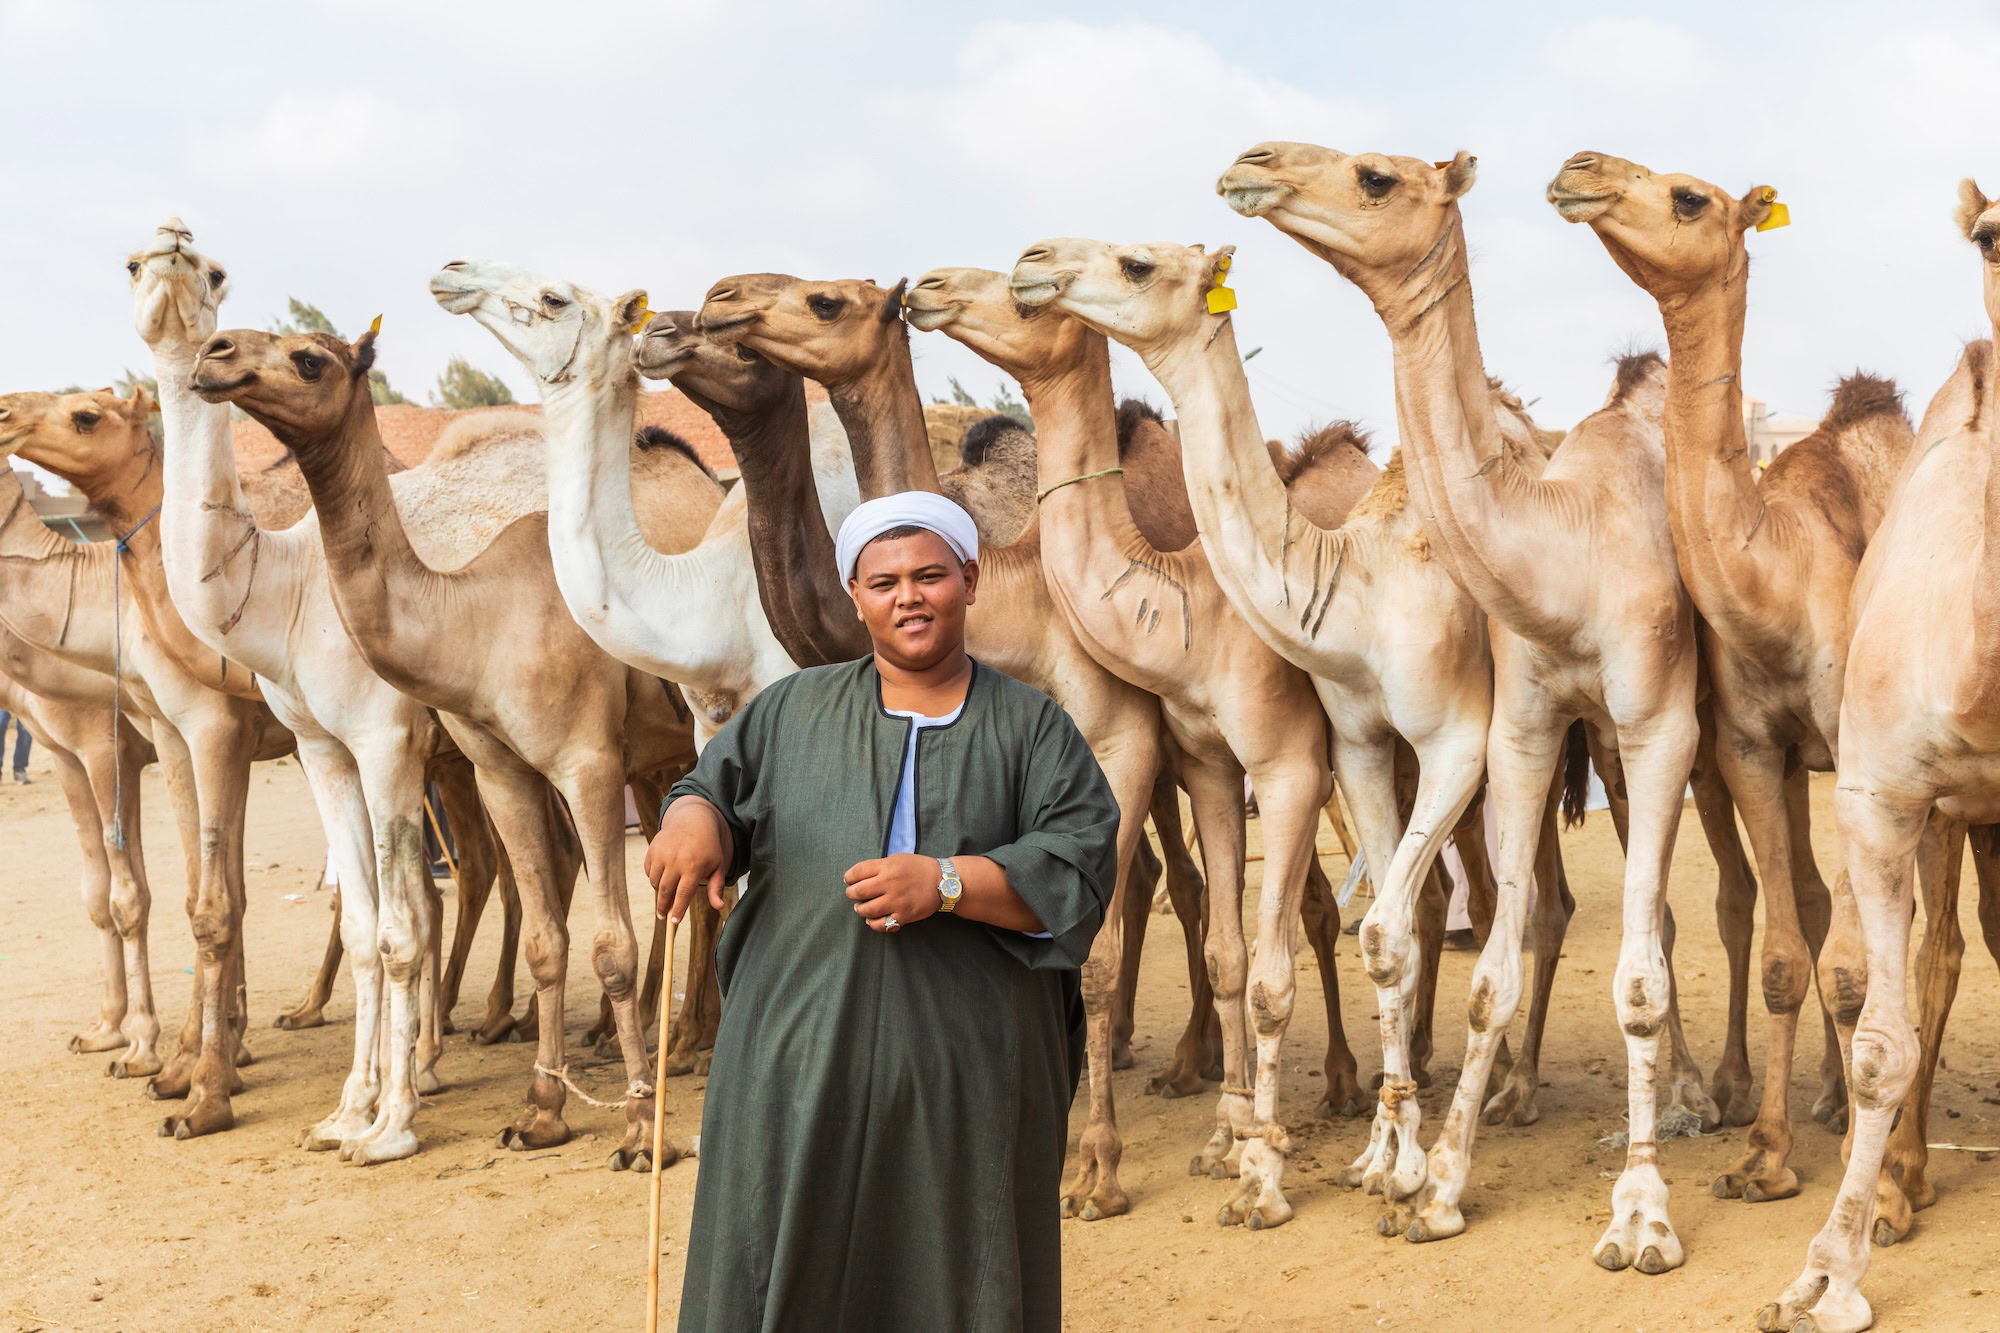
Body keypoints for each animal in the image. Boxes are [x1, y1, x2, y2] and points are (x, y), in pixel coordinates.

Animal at [0, 391, 297, 1138]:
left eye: (85, 415)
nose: (6, 410)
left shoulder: (132, 741)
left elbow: (139, 896)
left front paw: (153, 1057)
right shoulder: (123, 741)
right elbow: (165, 890)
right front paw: (167, 1050)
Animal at [193, 321, 704, 1171]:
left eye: (309, 358)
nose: (214, 354)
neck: (477, 613)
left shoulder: (587, 761)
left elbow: (611, 944)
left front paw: (638, 1131)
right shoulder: (500, 768)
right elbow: (547, 939)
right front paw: (539, 1114)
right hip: (665, 758)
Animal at [1549, 153, 1918, 1210]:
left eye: (1688, 197)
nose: (1580, 169)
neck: (1782, 578)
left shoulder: (1861, 754)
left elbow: (1855, 964)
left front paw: (1867, 1179)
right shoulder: (1754, 745)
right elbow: (1797, 956)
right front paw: (1765, 1152)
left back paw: (1893, 1154)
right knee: (1814, 905)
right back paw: (1828, 1098)